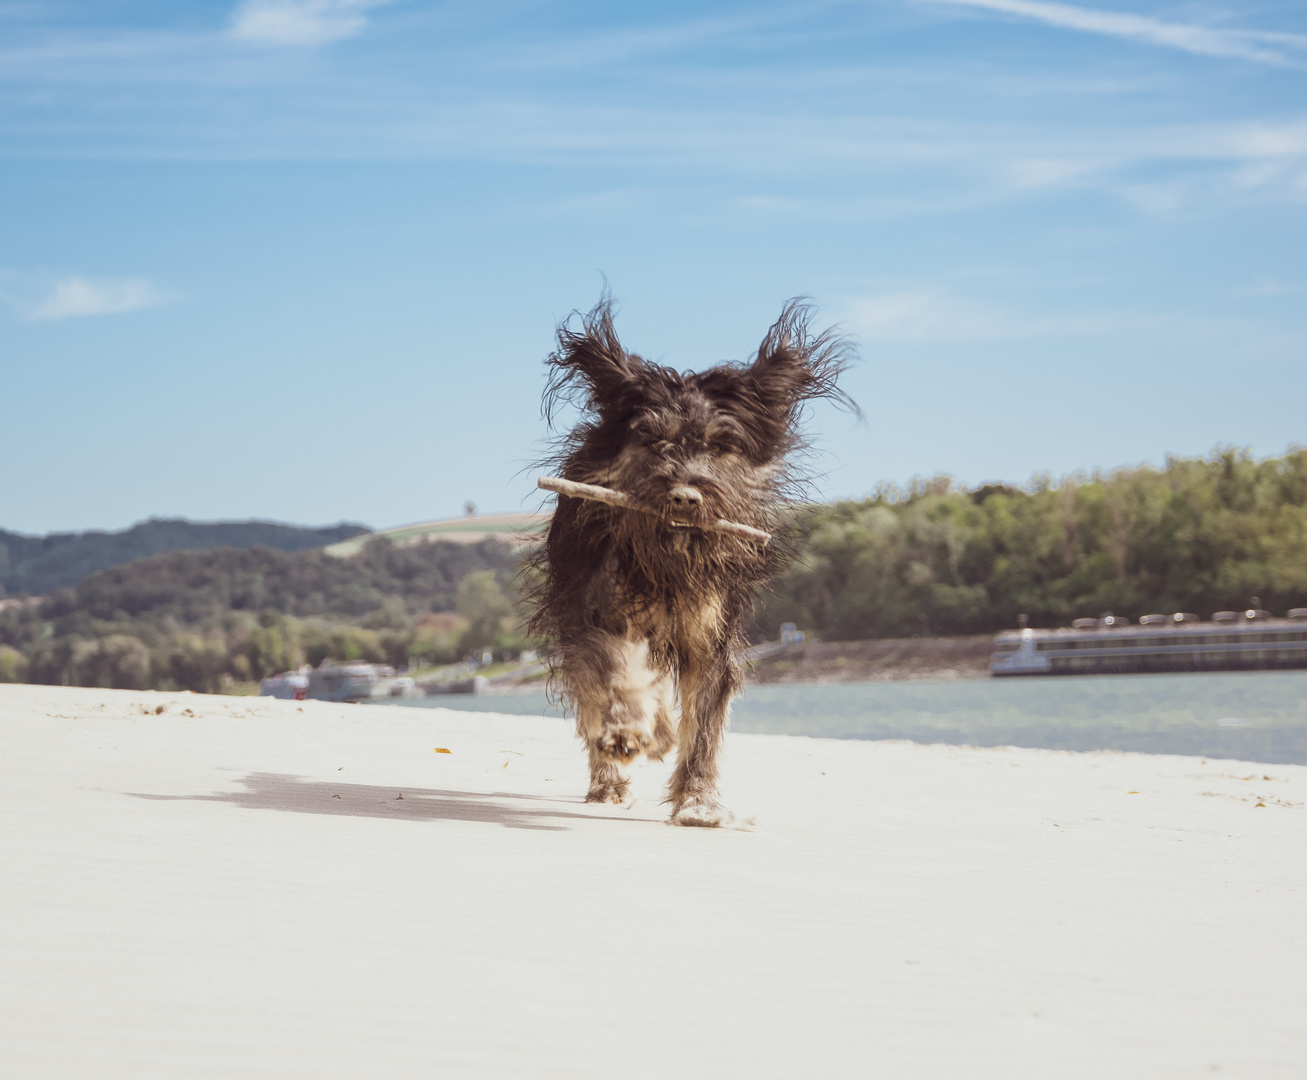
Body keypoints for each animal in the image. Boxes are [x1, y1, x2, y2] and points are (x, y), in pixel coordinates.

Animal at [525, 296, 852, 826]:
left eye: (720, 445)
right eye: (652, 441)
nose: (683, 497)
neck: (668, 562)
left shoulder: (709, 638)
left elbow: (702, 724)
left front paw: (698, 800)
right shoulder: (598, 611)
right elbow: (619, 673)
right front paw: (631, 731)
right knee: (596, 696)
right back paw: (611, 775)